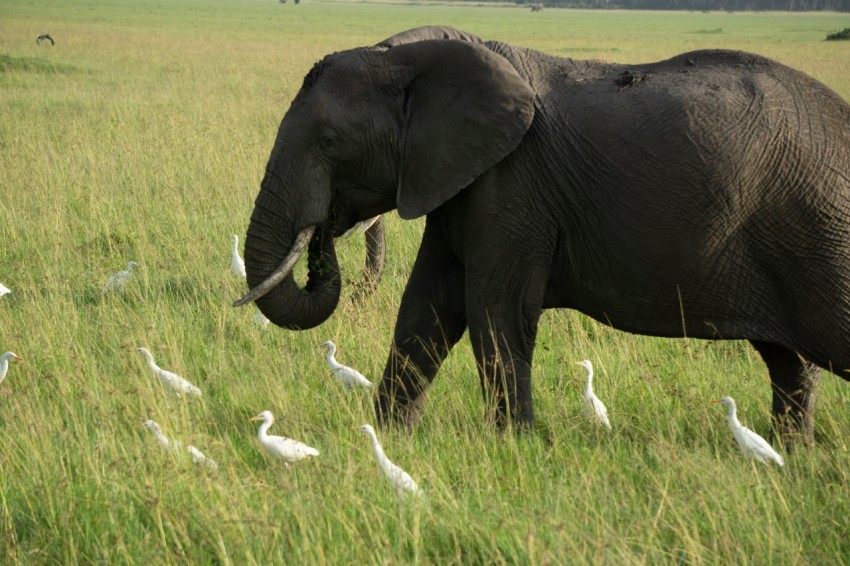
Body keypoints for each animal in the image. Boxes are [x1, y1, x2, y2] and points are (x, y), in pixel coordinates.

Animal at [235, 26, 848, 444]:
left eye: (330, 141)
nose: (323, 231)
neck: (414, 52)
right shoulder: (462, 180)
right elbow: (425, 309)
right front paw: (389, 438)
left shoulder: (514, 185)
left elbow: (493, 311)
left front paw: (516, 446)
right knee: (789, 364)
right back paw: (790, 457)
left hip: (823, 232)